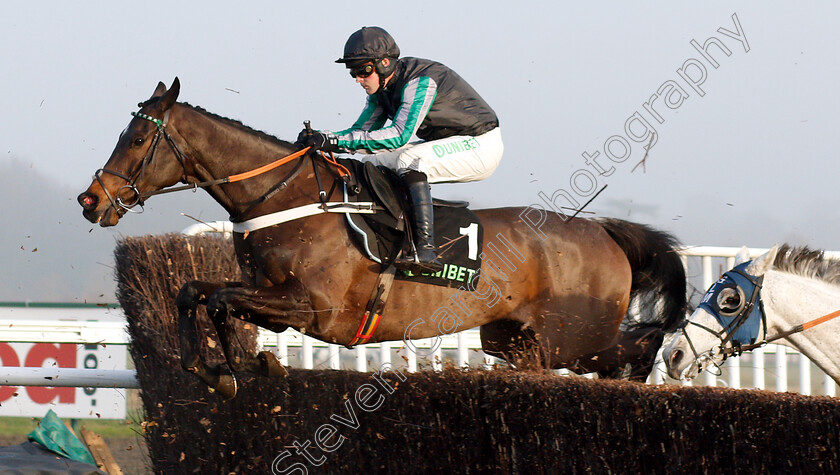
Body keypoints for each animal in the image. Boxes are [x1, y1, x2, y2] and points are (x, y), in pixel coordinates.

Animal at [79, 78, 684, 398]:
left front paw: (238, 367)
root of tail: (601, 230)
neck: (285, 198)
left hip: (575, 336)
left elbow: (222, 300)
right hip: (514, 340)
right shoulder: (270, 295)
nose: (91, 200)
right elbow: (197, 293)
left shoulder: (316, 309)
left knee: (633, 349)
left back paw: (668, 369)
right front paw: (218, 368)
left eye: (137, 139)